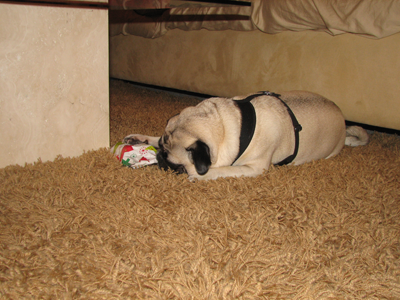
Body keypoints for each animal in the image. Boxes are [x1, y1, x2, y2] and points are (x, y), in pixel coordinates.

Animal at [124, 90, 368, 180]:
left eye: (174, 163)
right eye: (162, 151)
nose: (159, 158)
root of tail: (344, 123)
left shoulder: (254, 168)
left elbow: (222, 170)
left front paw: (198, 175)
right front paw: (140, 138)